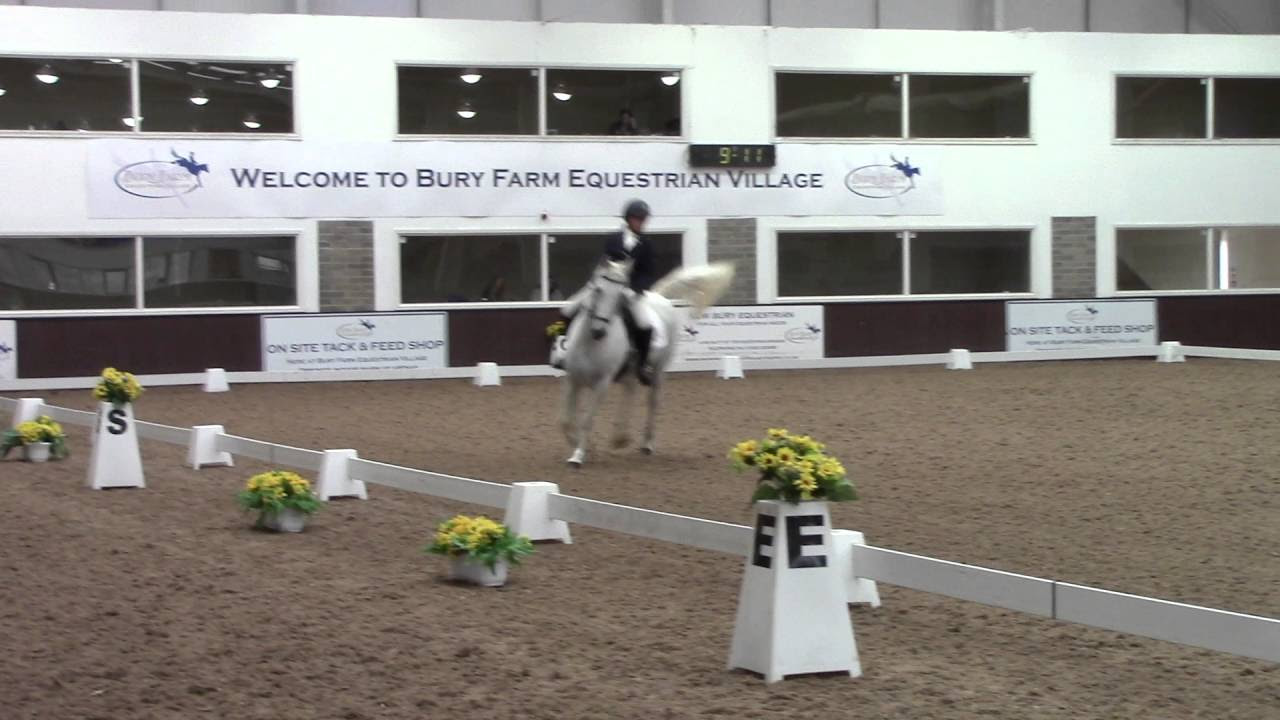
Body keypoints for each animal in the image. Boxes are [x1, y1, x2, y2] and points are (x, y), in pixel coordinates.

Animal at [558, 257, 732, 466]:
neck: (590, 344)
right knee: (630, 393)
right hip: (629, 372)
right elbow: (566, 421)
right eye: (597, 290)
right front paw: (581, 446)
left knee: (652, 402)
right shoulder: (572, 380)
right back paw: (620, 438)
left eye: (619, 295)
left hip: (658, 371)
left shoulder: (602, 384)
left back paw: (645, 444)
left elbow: (587, 420)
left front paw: (578, 455)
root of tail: (659, 298)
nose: (598, 332)